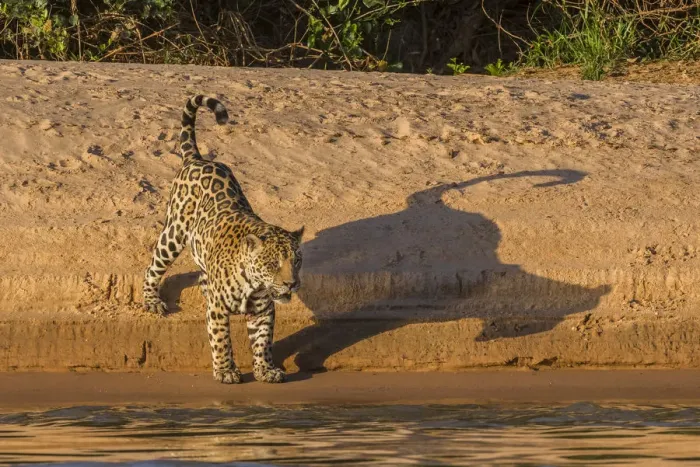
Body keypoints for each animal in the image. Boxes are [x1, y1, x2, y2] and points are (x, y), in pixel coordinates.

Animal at [142, 94, 304, 384]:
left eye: (297, 262)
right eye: (273, 264)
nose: (291, 284)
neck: (254, 284)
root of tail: (198, 159)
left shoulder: (264, 311)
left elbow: (263, 342)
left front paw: (265, 369)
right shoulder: (218, 311)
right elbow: (221, 339)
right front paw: (226, 370)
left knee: (201, 275)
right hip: (174, 232)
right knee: (153, 266)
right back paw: (152, 300)